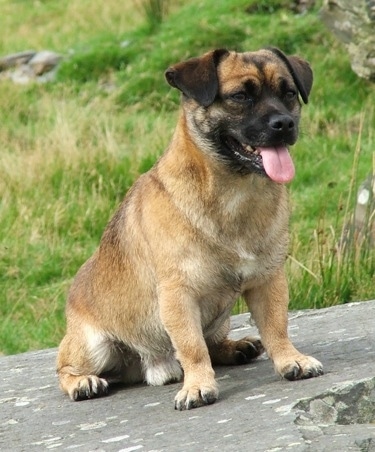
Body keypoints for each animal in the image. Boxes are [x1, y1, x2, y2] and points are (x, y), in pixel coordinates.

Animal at [57, 47, 324, 412]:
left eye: (289, 93)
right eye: (240, 96)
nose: (284, 123)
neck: (235, 192)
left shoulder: (268, 281)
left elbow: (276, 326)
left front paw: (289, 360)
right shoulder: (179, 296)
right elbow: (192, 348)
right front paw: (198, 386)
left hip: (219, 320)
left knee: (213, 344)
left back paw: (235, 348)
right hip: (94, 346)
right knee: (64, 368)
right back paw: (83, 382)